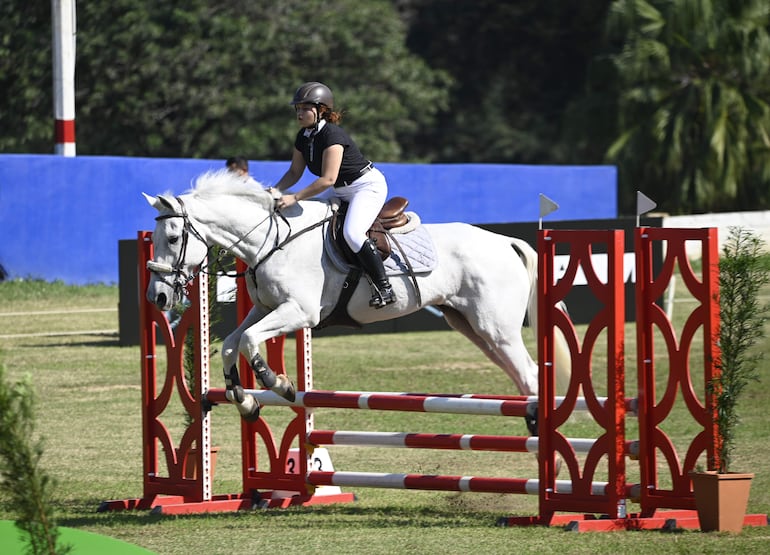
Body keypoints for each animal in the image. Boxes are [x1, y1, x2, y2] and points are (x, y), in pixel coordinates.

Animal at [144, 169, 568, 426]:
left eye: (174, 238)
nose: (158, 298)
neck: (270, 239)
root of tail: (507, 241)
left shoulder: (299, 312)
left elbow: (248, 341)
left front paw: (277, 383)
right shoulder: (266, 308)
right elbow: (234, 342)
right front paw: (245, 400)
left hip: (495, 328)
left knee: (530, 374)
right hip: (472, 327)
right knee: (523, 376)